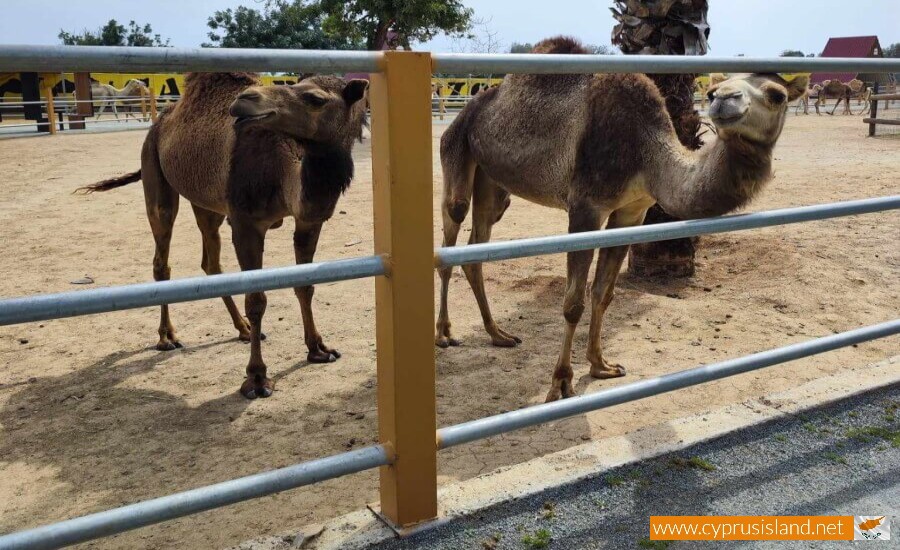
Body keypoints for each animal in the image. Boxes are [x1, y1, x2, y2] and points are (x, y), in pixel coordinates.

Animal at [77, 73, 366, 402]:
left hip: (206, 202)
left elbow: (305, 286)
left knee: (211, 262)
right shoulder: (245, 223)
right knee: (162, 257)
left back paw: (242, 329)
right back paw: (167, 337)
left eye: (315, 98)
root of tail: (159, 123)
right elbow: (256, 299)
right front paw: (256, 379)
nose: (246, 99)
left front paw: (318, 349)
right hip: (155, 174)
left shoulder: (309, 220)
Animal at [436, 37, 808, 402]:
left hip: (493, 181)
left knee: (476, 248)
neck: (646, 153)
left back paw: (498, 334)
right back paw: (444, 334)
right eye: (716, 89)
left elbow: (604, 293)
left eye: (777, 94)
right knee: (452, 225)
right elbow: (573, 302)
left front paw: (601, 366)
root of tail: (472, 106)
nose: (722, 100)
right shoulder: (585, 207)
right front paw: (561, 383)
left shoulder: (632, 212)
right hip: (455, 146)